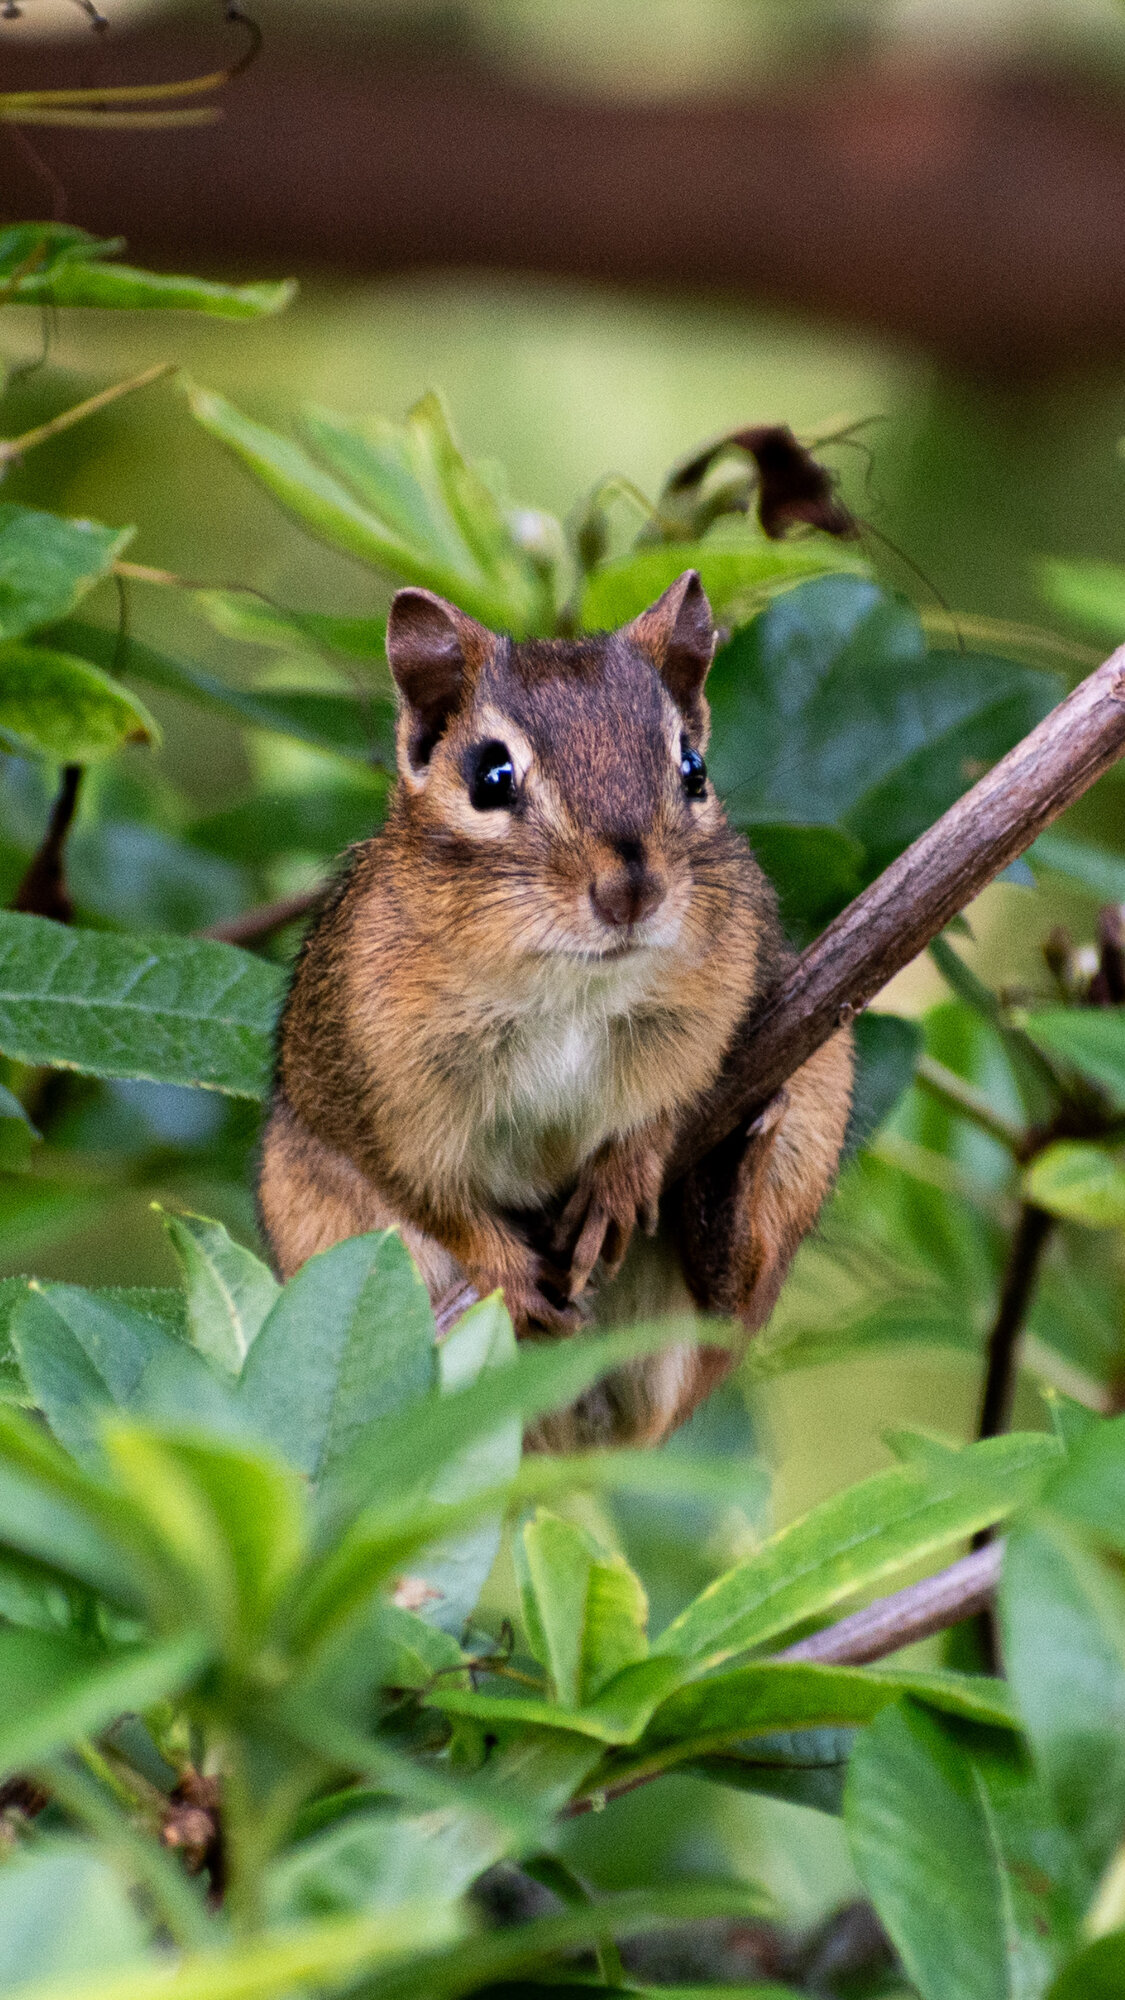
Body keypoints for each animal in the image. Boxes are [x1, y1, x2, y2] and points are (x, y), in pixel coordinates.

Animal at [257, 570, 853, 1449]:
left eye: (693, 767)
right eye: (490, 777)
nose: (631, 889)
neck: (568, 990)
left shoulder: (721, 1009)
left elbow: (668, 1106)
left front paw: (623, 1170)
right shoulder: (375, 1096)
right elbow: (427, 1193)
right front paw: (503, 1266)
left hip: (817, 1105)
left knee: (731, 1294)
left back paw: (726, 1185)